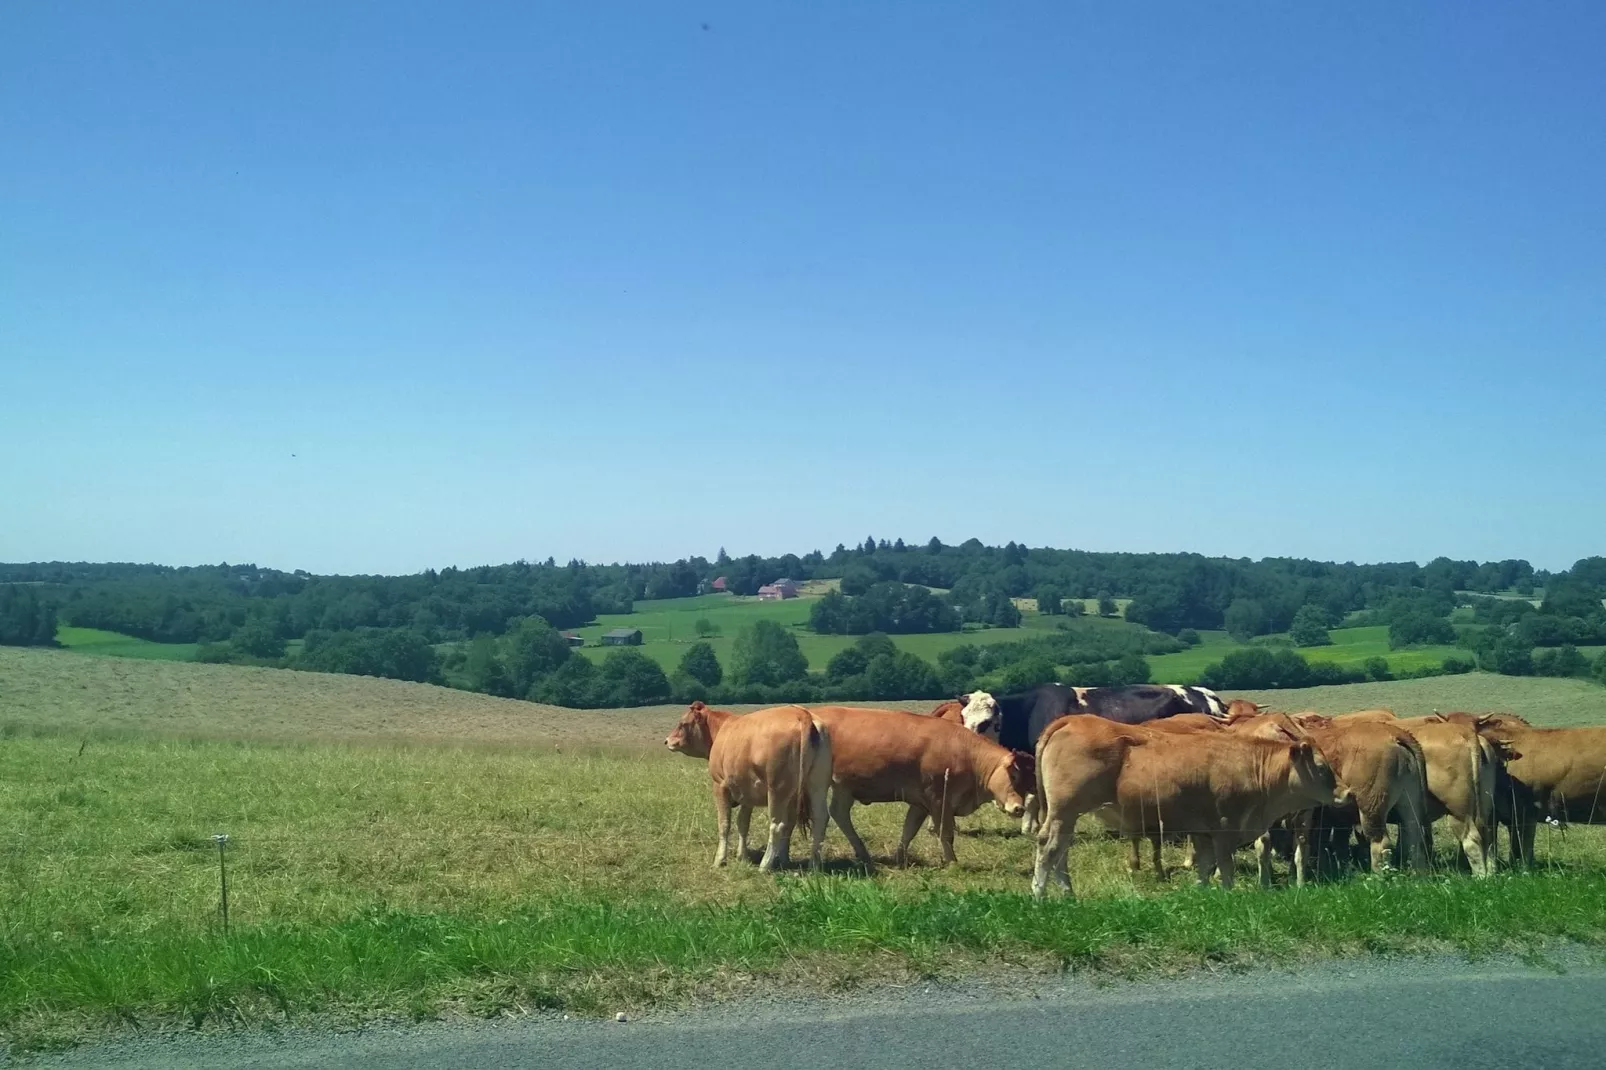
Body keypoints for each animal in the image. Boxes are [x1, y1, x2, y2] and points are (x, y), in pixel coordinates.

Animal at [668, 700, 835, 867]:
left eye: (682, 723)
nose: (667, 740)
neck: (721, 729)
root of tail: (802, 714)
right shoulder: (747, 793)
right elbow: (743, 823)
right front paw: (743, 856)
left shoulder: (719, 785)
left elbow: (724, 824)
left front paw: (720, 859)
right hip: (816, 786)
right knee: (819, 819)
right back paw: (811, 863)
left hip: (777, 789)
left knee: (777, 825)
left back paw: (765, 864)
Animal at [809, 706, 1021, 867]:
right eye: (1013, 775)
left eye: (1026, 781)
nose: (1019, 808)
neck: (965, 752)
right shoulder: (939, 801)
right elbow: (945, 833)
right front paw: (952, 862)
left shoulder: (921, 804)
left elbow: (909, 830)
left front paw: (899, 857)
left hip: (844, 788)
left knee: (839, 814)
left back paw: (863, 853)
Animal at [1027, 713, 1342, 893]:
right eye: (1322, 767)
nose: (1345, 792)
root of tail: (1072, 719)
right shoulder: (1224, 829)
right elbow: (1225, 867)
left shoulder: (1203, 831)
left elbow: (1205, 866)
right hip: (1064, 811)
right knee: (1050, 848)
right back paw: (1039, 895)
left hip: (1067, 815)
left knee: (1061, 851)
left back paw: (1068, 895)